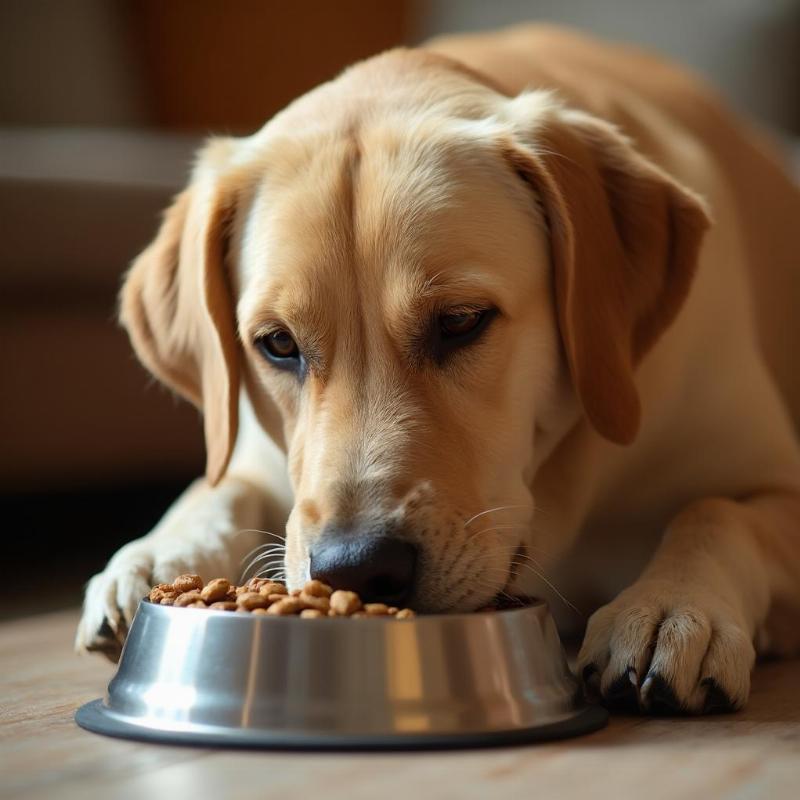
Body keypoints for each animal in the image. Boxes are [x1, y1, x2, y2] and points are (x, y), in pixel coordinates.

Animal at [76, 23, 800, 712]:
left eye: (460, 321)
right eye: (278, 343)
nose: (357, 567)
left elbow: (714, 512)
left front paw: (672, 608)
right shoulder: (258, 458)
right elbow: (219, 489)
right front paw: (157, 554)